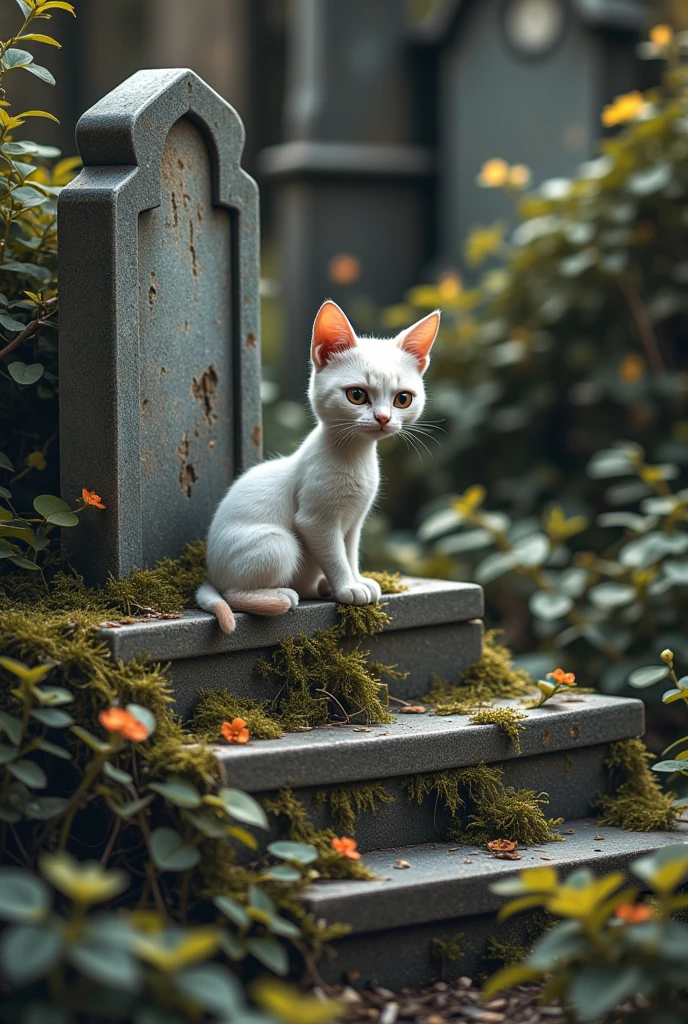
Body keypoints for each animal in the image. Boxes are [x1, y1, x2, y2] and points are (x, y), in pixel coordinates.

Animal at [196, 299, 438, 630]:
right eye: (357, 394)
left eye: (403, 399)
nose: (383, 418)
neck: (356, 457)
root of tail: (212, 573)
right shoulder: (315, 520)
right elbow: (335, 555)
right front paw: (348, 587)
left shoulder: (354, 521)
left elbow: (349, 552)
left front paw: (357, 579)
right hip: (278, 542)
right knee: (233, 594)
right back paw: (280, 596)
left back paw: (318, 587)